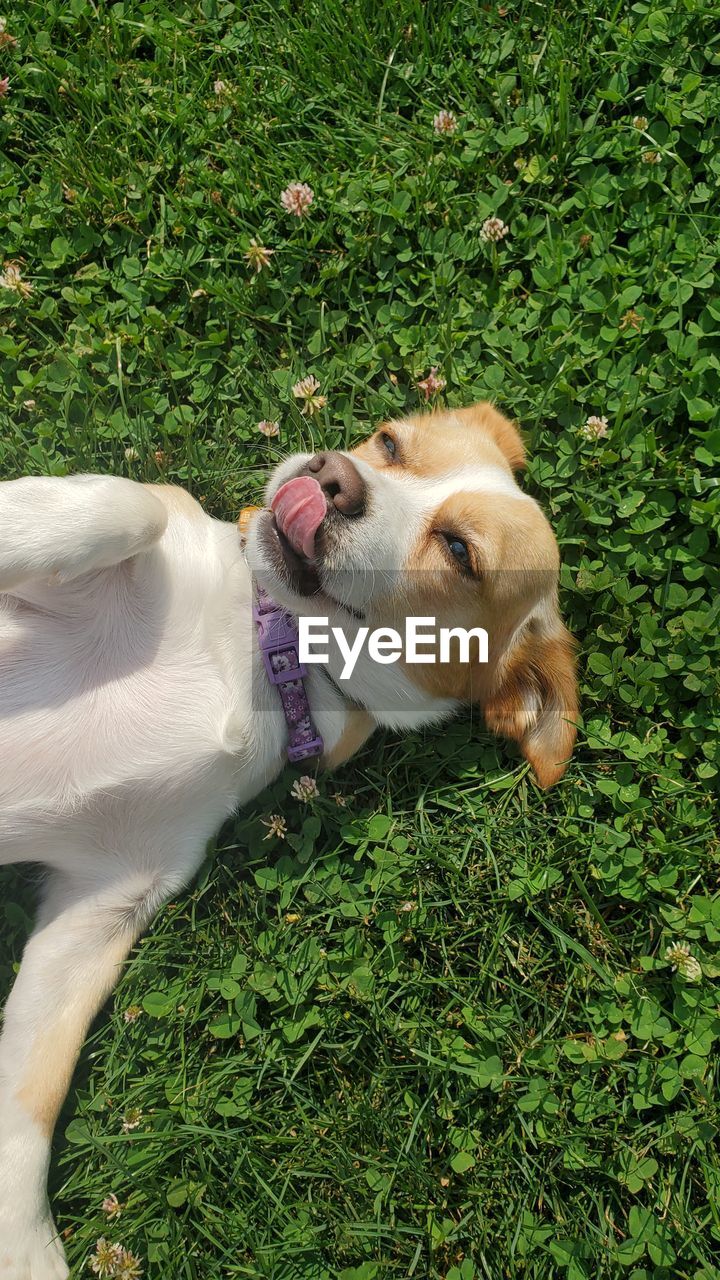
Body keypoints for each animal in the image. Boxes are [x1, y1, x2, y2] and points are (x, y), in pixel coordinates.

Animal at [0, 404, 573, 1274]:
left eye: (459, 552)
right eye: (388, 442)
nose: (330, 477)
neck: (262, 653)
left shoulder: (103, 901)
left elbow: (29, 1095)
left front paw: (20, 1249)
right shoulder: (146, 521)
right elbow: (124, 504)